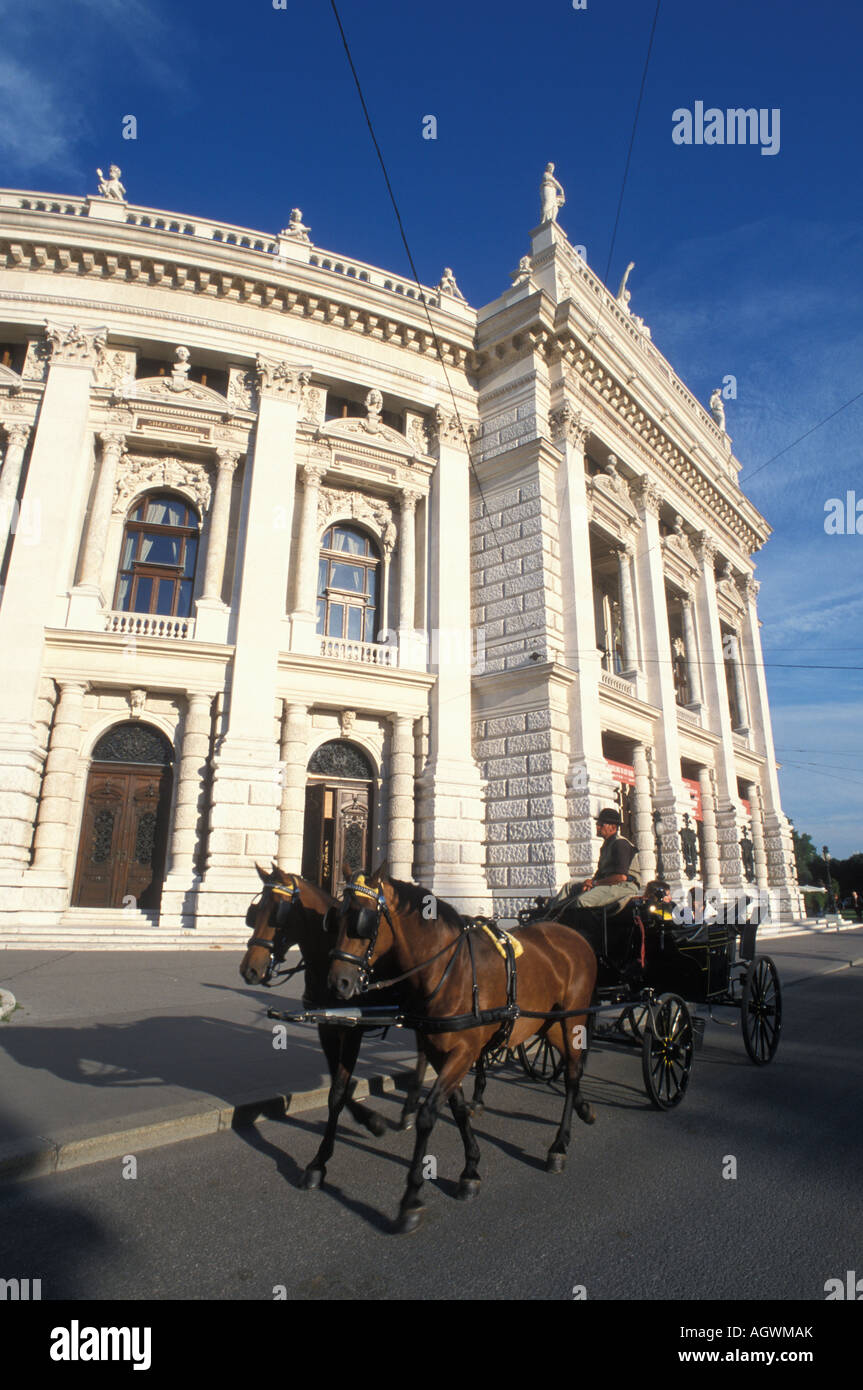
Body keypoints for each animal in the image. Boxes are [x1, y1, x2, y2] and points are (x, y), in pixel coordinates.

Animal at [240, 867, 441, 1184]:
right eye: (254, 912)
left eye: (278, 914)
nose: (249, 969)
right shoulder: (327, 1027)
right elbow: (340, 1086)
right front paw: (372, 1122)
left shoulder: (352, 1028)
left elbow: (337, 1092)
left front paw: (320, 1161)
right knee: (423, 1053)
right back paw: (408, 1110)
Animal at [326, 861, 594, 1234]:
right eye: (337, 917)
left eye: (362, 921)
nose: (338, 982)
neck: (445, 970)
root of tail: (574, 935)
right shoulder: (443, 1053)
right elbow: (457, 1108)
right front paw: (470, 1170)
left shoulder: (464, 1052)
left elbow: (429, 1115)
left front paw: (411, 1199)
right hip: (548, 1023)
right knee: (574, 1068)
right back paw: (584, 1110)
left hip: (573, 1019)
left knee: (570, 1076)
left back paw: (558, 1147)